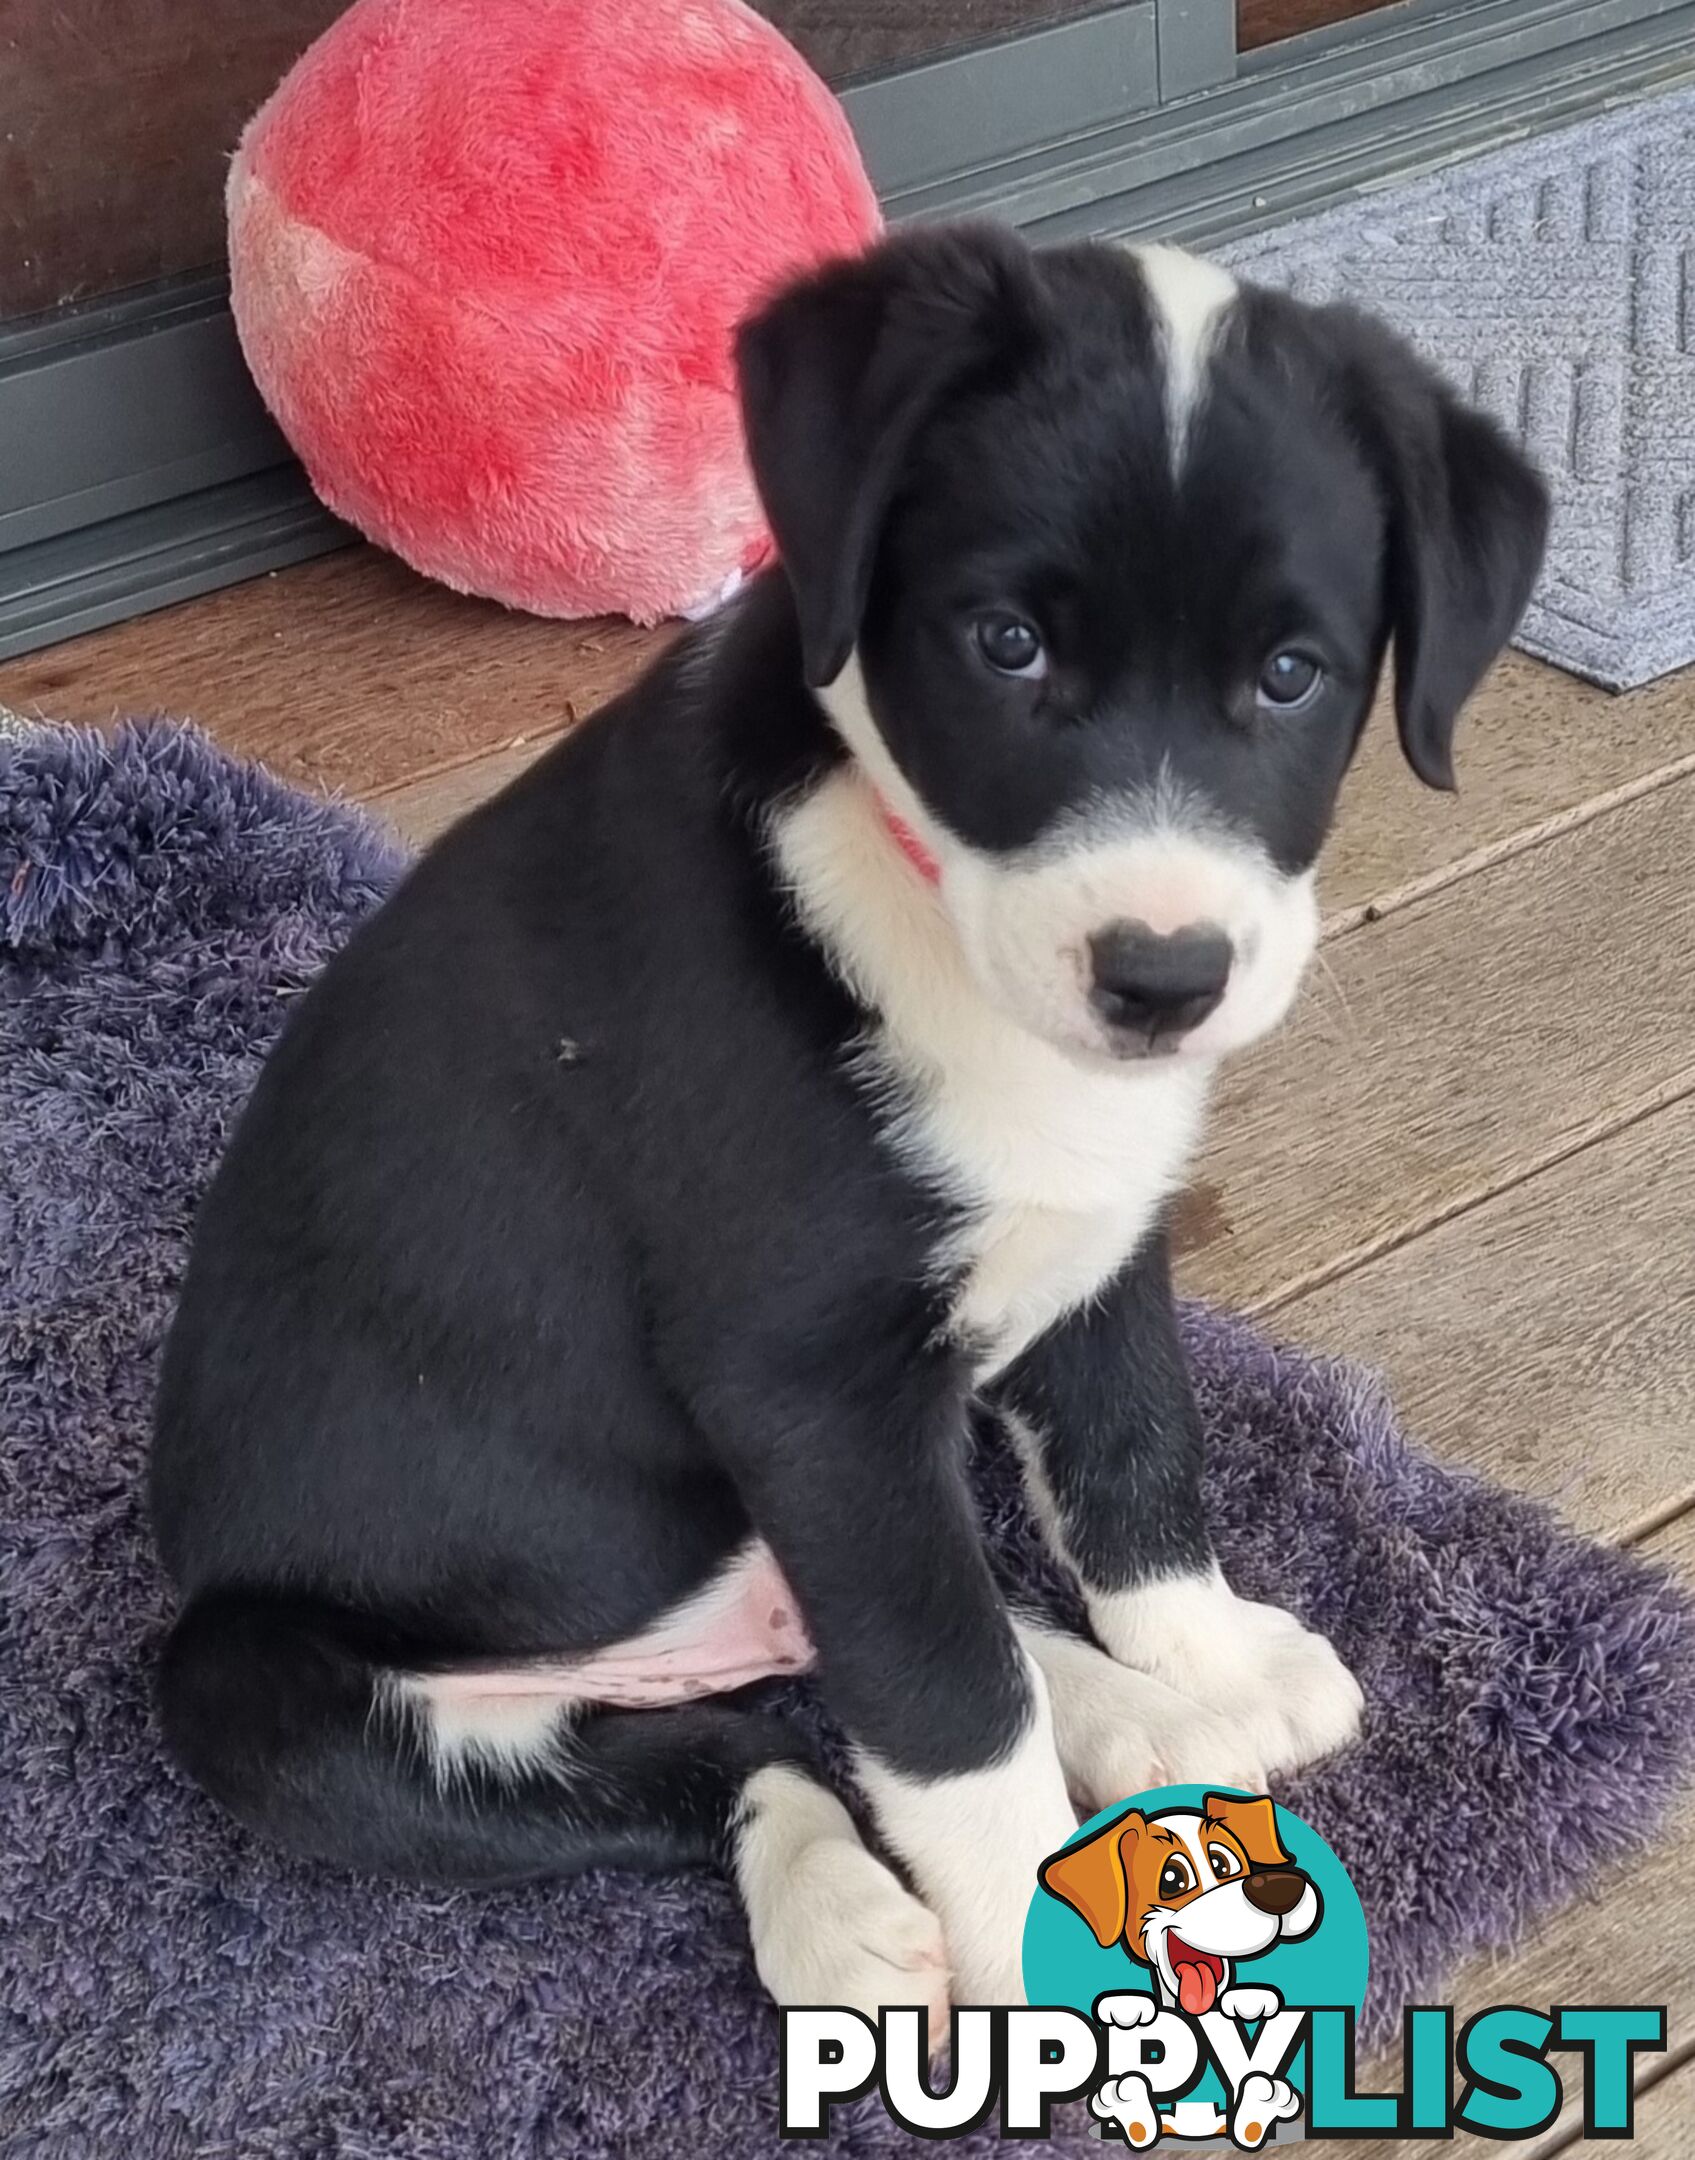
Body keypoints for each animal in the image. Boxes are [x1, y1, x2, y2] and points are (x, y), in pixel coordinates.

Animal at [148, 227, 1546, 2030]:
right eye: (1005, 644)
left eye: (1291, 674)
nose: (1163, 979)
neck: (920, 900)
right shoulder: (805, 1387)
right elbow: (947, 1713)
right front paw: (1036, 1938)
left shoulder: (1094, 1250)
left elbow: (1132, 1462)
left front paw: (1200, 1652)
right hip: (260, 1686)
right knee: (775, 1739)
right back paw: (842, 1913)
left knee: (858, 1665)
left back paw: (1133, 1721)